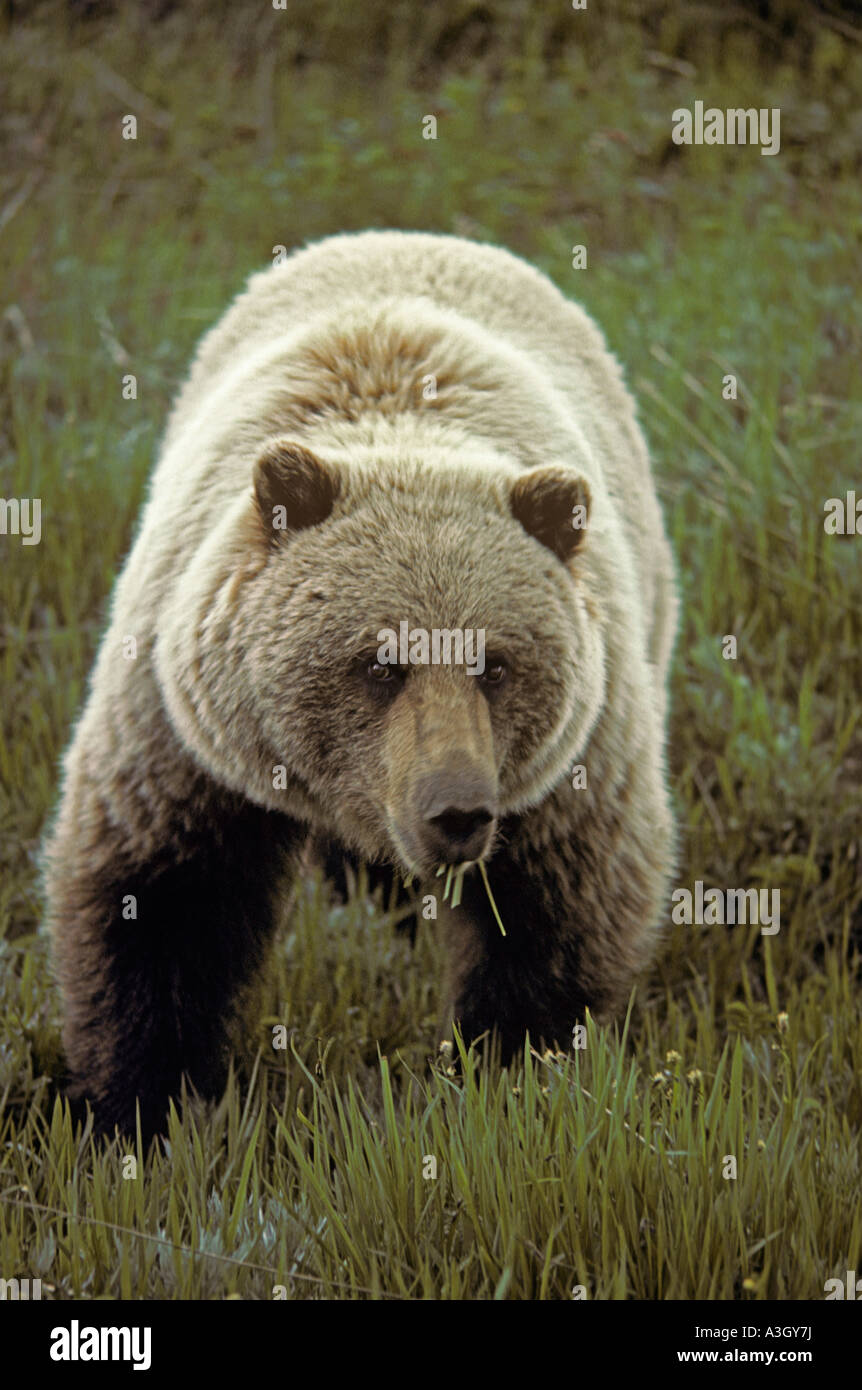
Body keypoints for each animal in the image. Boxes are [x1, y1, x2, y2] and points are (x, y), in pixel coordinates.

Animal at [43, 230, 678, 1139]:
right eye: (381, 661)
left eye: (495, 663)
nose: (457, 810)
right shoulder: (182, 738)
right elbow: (156, 899)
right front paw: (144, 1108)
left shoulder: (575, 763)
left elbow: (558, 917)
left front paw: (510, 1079)